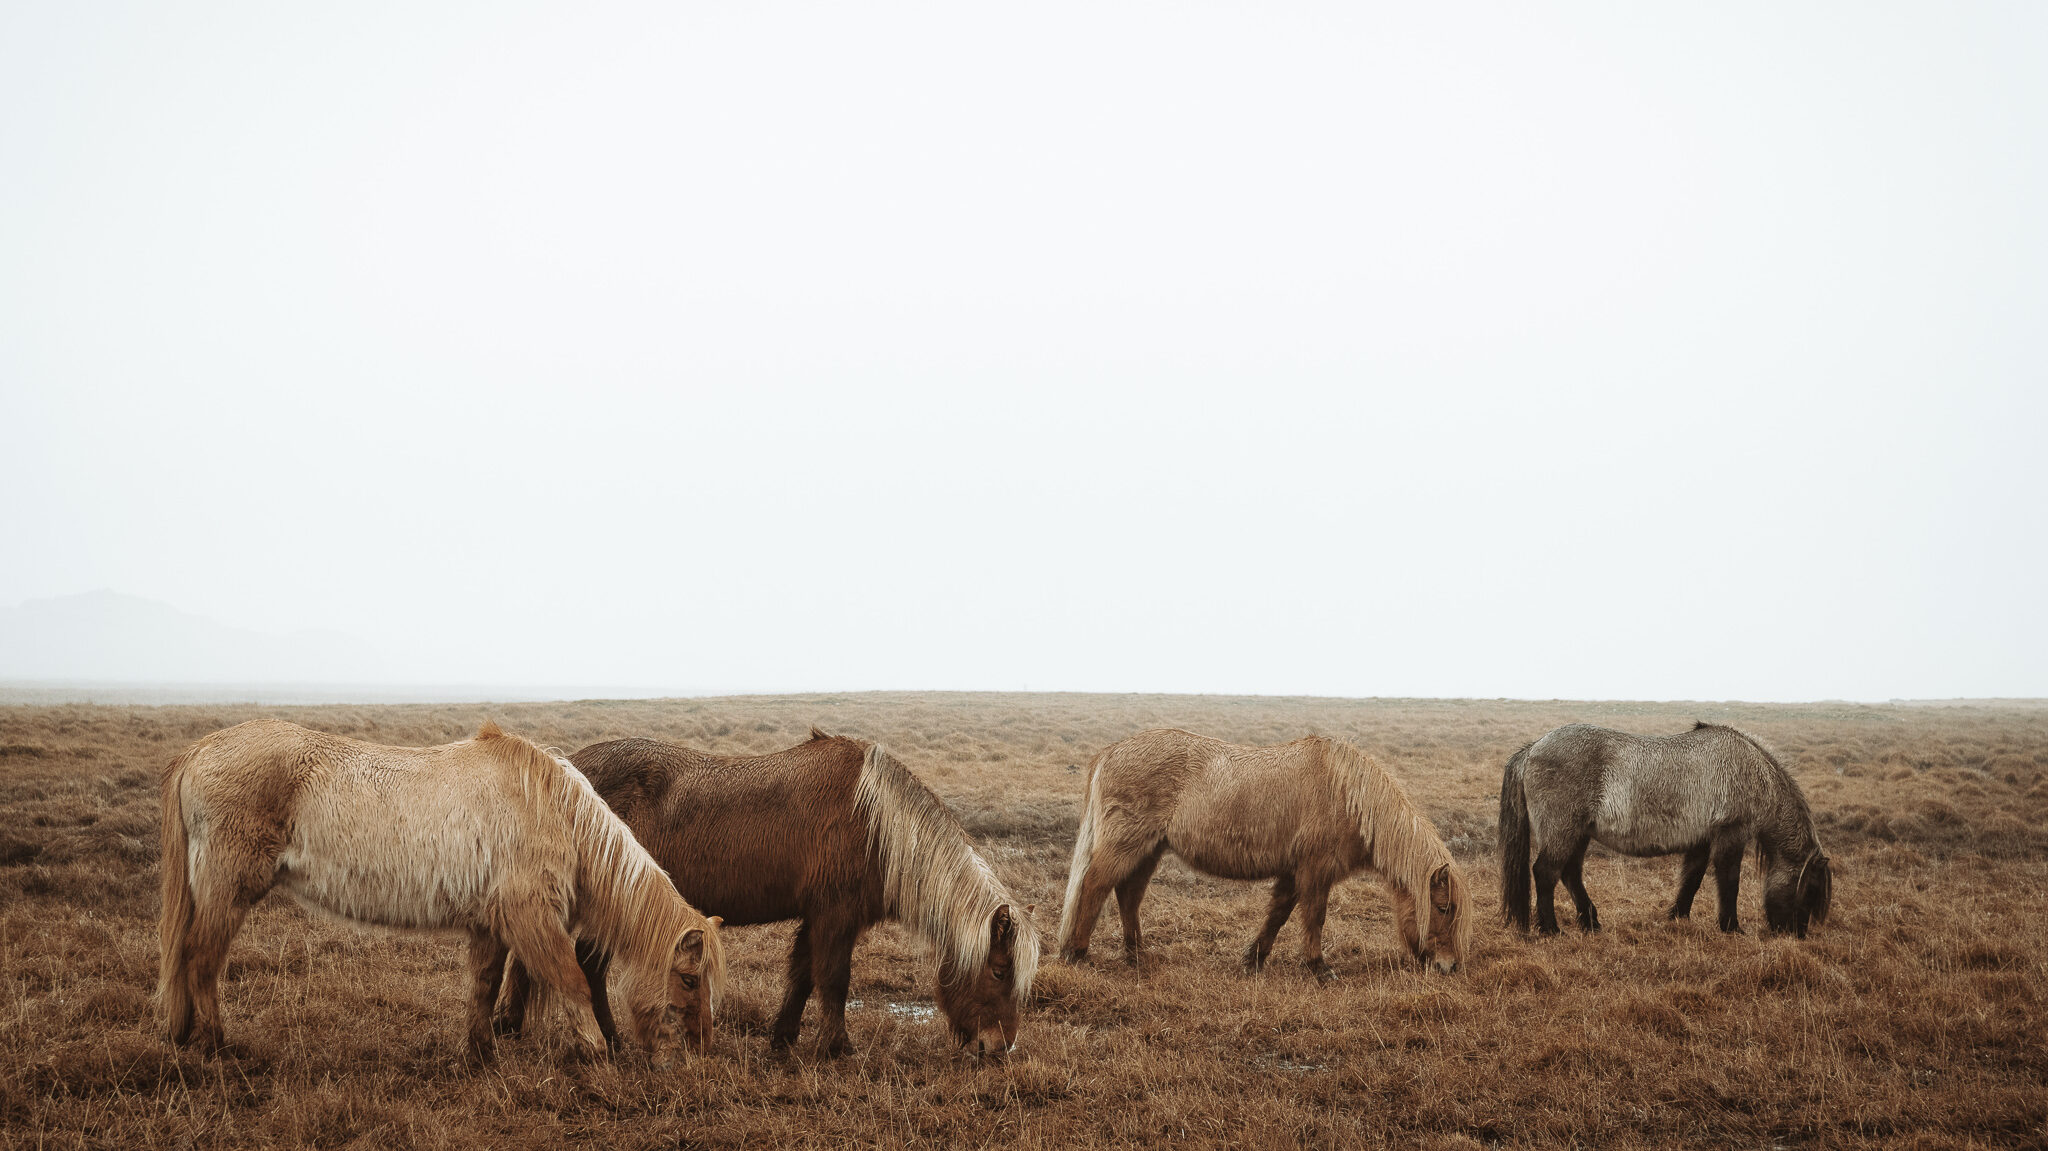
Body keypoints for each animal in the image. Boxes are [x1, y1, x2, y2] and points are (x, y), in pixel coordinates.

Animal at [155, 720, 724, 1064]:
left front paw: (481, 1055)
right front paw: (595, 1052)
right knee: (201, 960)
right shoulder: (531, 918)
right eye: (689, 980)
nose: (702, 1050)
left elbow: (484, 987)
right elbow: (572, 982)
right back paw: (217, 1046)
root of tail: (201, 749)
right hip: (228, 891)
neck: (555, 813)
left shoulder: (491, 924)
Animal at [497, 729, 1040, 1056]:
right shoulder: (835, 917)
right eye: (998, 971)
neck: (875, 821)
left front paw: (783, 1040)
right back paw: (609, 1042)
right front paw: (837, 1048)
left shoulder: (817, 917)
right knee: (587, 966)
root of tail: (560, 769)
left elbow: (801, 977)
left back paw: (512, 1027)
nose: (1000, 1049)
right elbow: (834, 980)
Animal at [1056, 729, 1474, 970]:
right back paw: (1077, 952)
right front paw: (1317, 966)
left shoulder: (1294, 871)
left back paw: (1138, 955)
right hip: (1127, 844)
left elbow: (1278, 914)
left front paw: (1254, 958)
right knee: (1095, 886)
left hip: (1149, 850)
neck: (1348, 795)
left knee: (1128, 895)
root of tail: (1111, 751)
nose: (1450, 966)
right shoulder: (1314, 871)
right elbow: (1314, 916)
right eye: (1443, 908)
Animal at [1499, 720, 1835, 938]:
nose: (1796, 934)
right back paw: (1551, 930)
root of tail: (1532, 749)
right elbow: (1729, 881)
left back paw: (1591, 923)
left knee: (1569, 875)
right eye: (1809, 890)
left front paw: (1678, 916)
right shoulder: (1731, 834)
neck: (1752, 768)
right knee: (1546, 873)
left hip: (1578, 834)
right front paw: (1731, 927)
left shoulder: (1702, 840)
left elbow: (1692, 879)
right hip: (1563, 832)